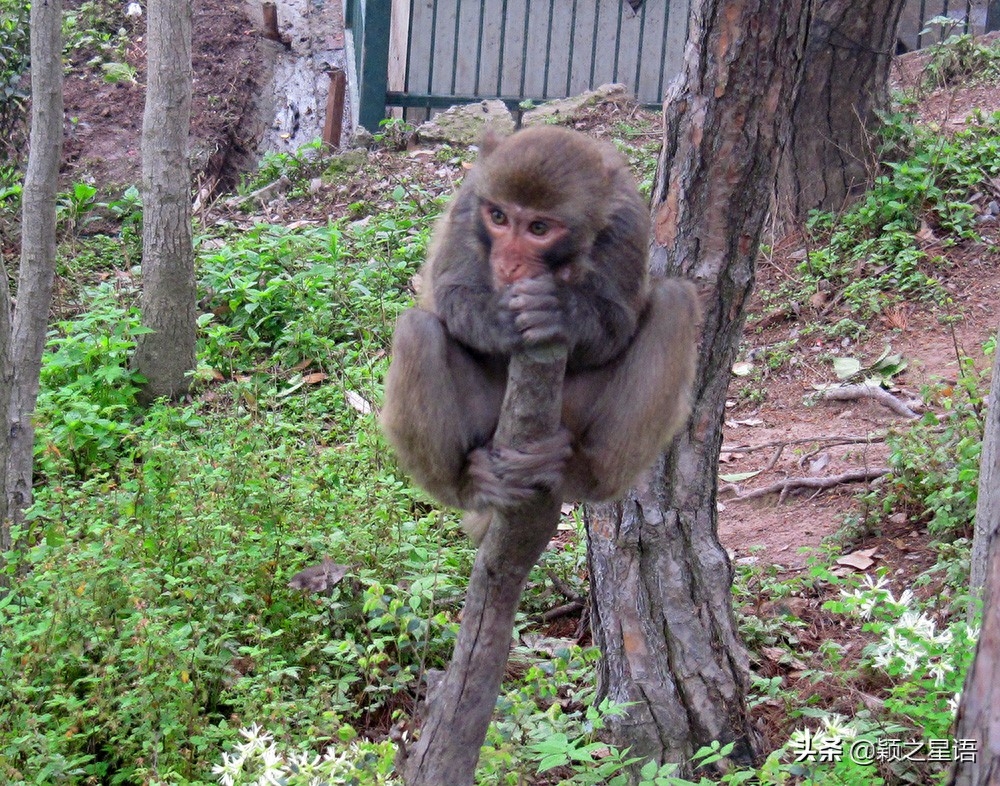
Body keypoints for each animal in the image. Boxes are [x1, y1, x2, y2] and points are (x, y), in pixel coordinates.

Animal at [378, 125, 700, 544]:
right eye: (498, 217)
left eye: (539, 228)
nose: (508, 264)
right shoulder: (469, 201)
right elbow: (450, 292)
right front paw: (500, 319)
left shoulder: (628, 218)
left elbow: (618, 323)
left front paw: (560, 312)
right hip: (487, 422)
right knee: (417, 330)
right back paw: (466, 485)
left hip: (573, 414)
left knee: (673, 303)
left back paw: (581, 473)